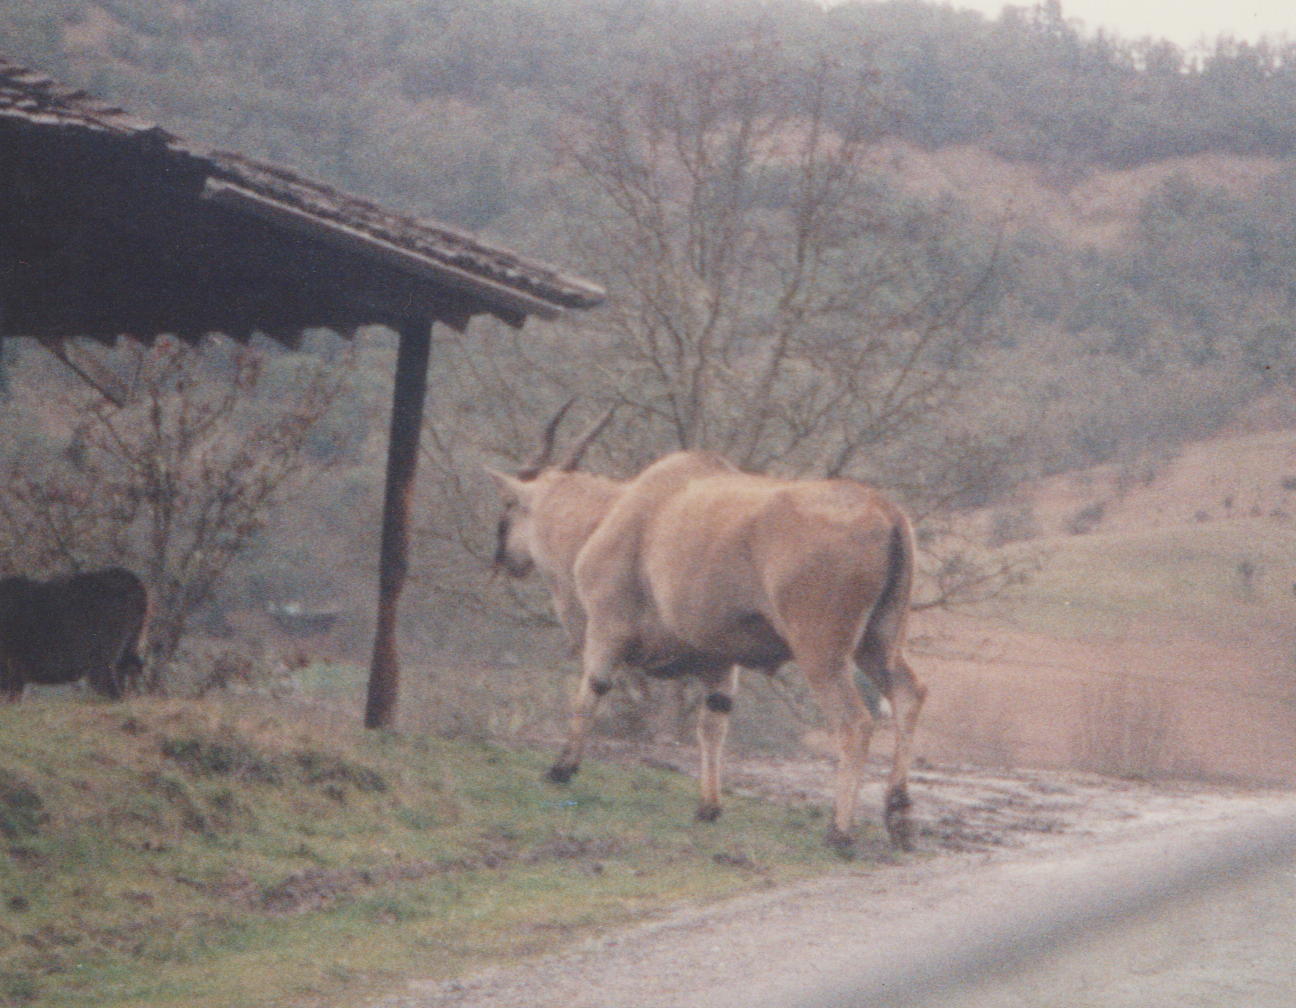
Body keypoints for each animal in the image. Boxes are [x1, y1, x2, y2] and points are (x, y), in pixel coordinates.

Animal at [484, 404, 922, 849]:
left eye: (508, 505)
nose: (502, 560)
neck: (611, 512)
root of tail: (887, 512)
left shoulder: (606, 628)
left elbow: (590, 692)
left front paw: (561, 769)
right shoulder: (719, 663)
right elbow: (712, 725)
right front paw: (708, 808)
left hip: (821, 654)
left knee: (855, 723)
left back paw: (839, 831)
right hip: (878, 645)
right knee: (909, 694)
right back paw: (897, 812)